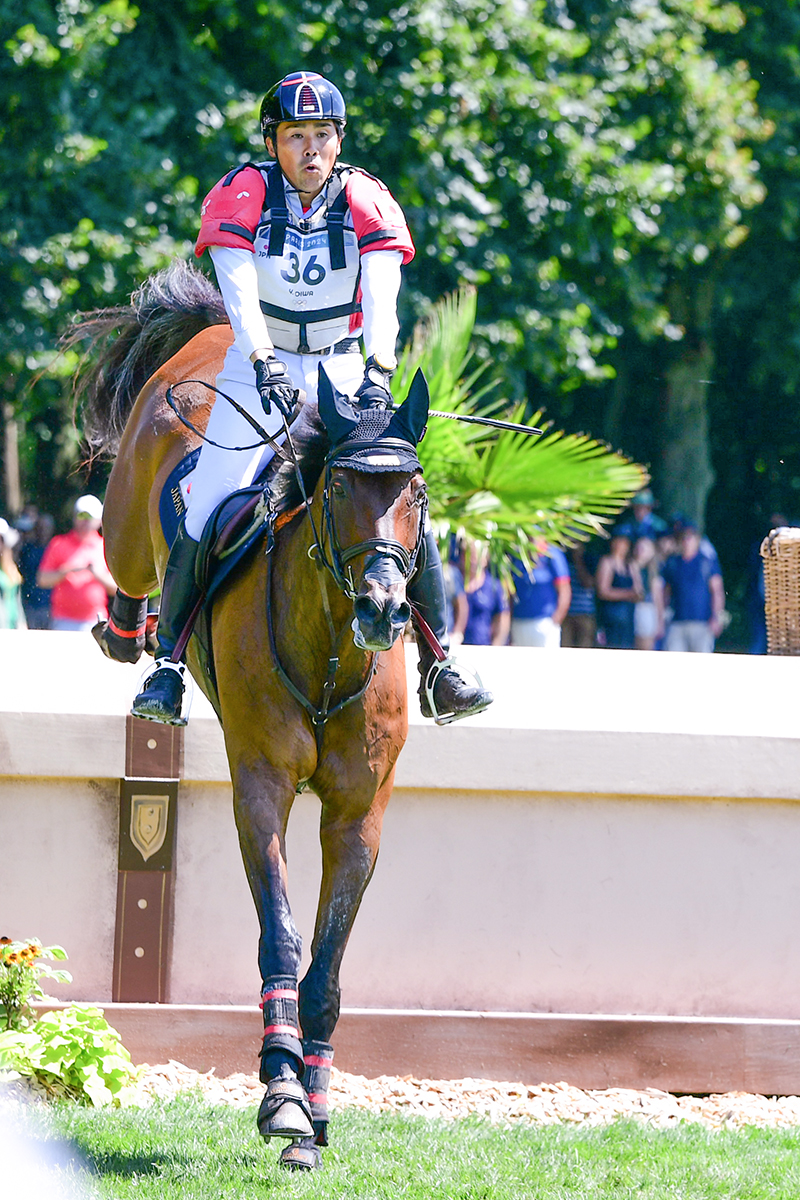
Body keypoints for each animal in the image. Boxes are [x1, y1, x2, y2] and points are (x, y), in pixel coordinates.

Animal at [76, 258, 431, 1166]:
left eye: (413, 490)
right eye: (338, 485)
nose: (384, 608)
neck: (330, 650)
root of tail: (210, 333)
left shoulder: (358, 812)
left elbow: (327, 965)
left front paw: (317, 1107)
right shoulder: (262, 789)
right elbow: (282, 936)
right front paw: (281, 1097)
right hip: (131, 513)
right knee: (133, 560)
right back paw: (131, 640)